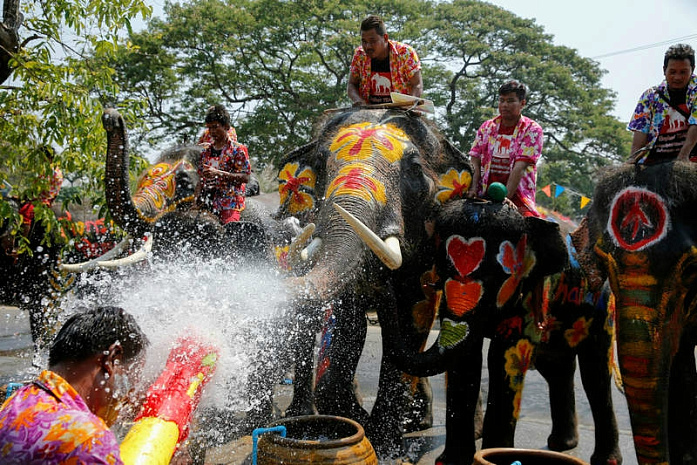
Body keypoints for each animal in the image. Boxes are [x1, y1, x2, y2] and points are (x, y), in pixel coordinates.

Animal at [274, 106, 476, 456]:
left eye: (414, 168)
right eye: (322, 163)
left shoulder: (427, 246)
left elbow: (413, 315)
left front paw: (385, 445)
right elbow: (349, 320)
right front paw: (356, 420)